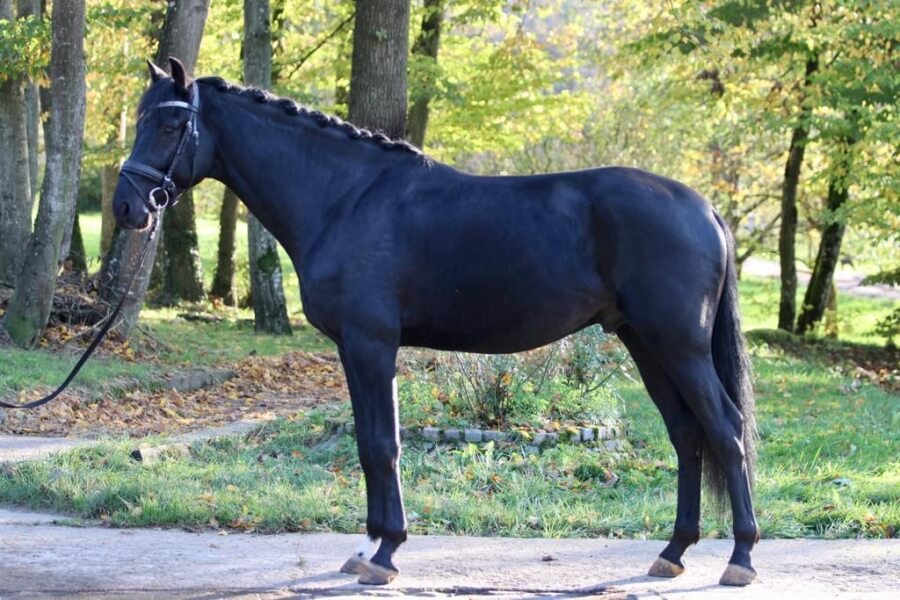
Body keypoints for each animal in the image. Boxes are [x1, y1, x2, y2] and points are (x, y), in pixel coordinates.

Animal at [113, 58, 760, 587]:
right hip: (646, 345)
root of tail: (705, 209)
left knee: (725, 430)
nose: (126, 207)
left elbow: (382, 445)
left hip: (679, 348)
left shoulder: (371, 345)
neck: (346, 198)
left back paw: (741, 559)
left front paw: (385, 554)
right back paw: (673, 552)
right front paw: (369, 547)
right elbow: (370, 443)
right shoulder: (356, 350)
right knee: (687, 435)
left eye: (168, 126)